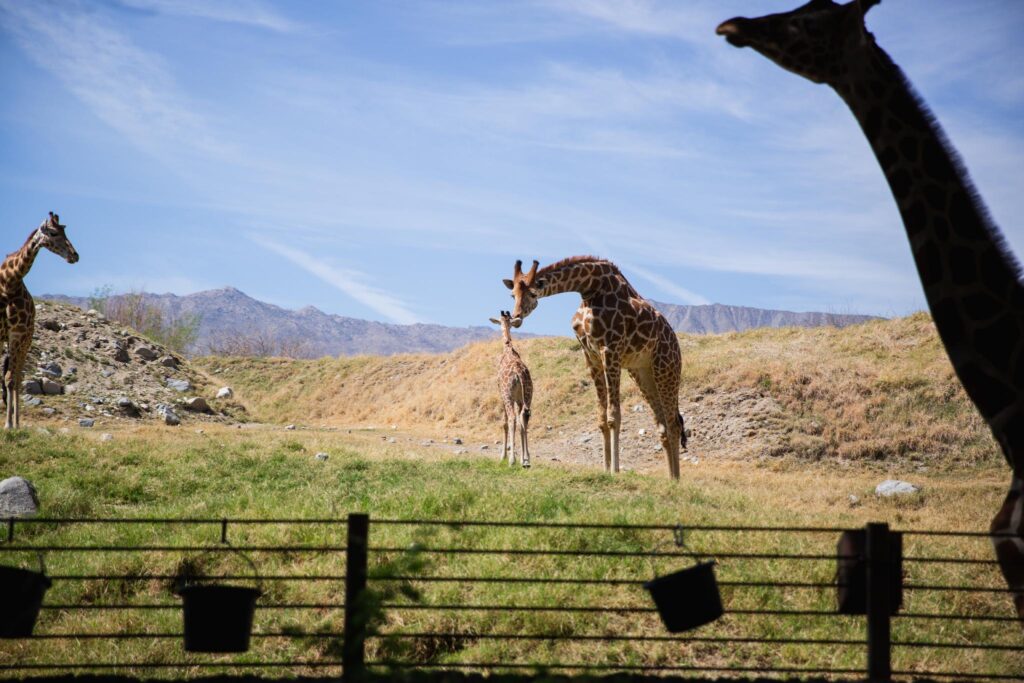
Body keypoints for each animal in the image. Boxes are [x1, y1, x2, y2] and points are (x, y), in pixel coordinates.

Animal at [1, 210, 79, 430]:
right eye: (53, 232)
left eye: (64, 230)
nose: (75, 255)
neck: (9, 281)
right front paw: (7, 423)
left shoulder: (17, 333)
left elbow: (10, 378)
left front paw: (9, 424)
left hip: (26, 339)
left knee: (17, 376)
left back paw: (16, 423)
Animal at [489, 311, 536, 466]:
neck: (508, 348)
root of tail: (519, 374)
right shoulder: (519, 400)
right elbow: (522, 423)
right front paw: (523, 457)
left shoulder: (502, 395)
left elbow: (504, 422)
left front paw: (503, 456)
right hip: (528, 395)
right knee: (524, 417)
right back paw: (526, 460)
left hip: (508, 395)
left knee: (512, 419)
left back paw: (512, 460)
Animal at [505, 255, 688, 481]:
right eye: (512, 294)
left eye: (532, 293)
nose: (516, 317)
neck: (589, 288)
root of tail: (676, 345)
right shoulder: (591, 356)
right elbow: (601, 418)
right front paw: (605, 468)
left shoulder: (610, 350)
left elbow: (614, 415)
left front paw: (615, 471)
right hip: (643, 372)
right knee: (662, 425)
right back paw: (671, 479)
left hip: (667, 368)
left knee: (674, 424)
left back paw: (677, 481)